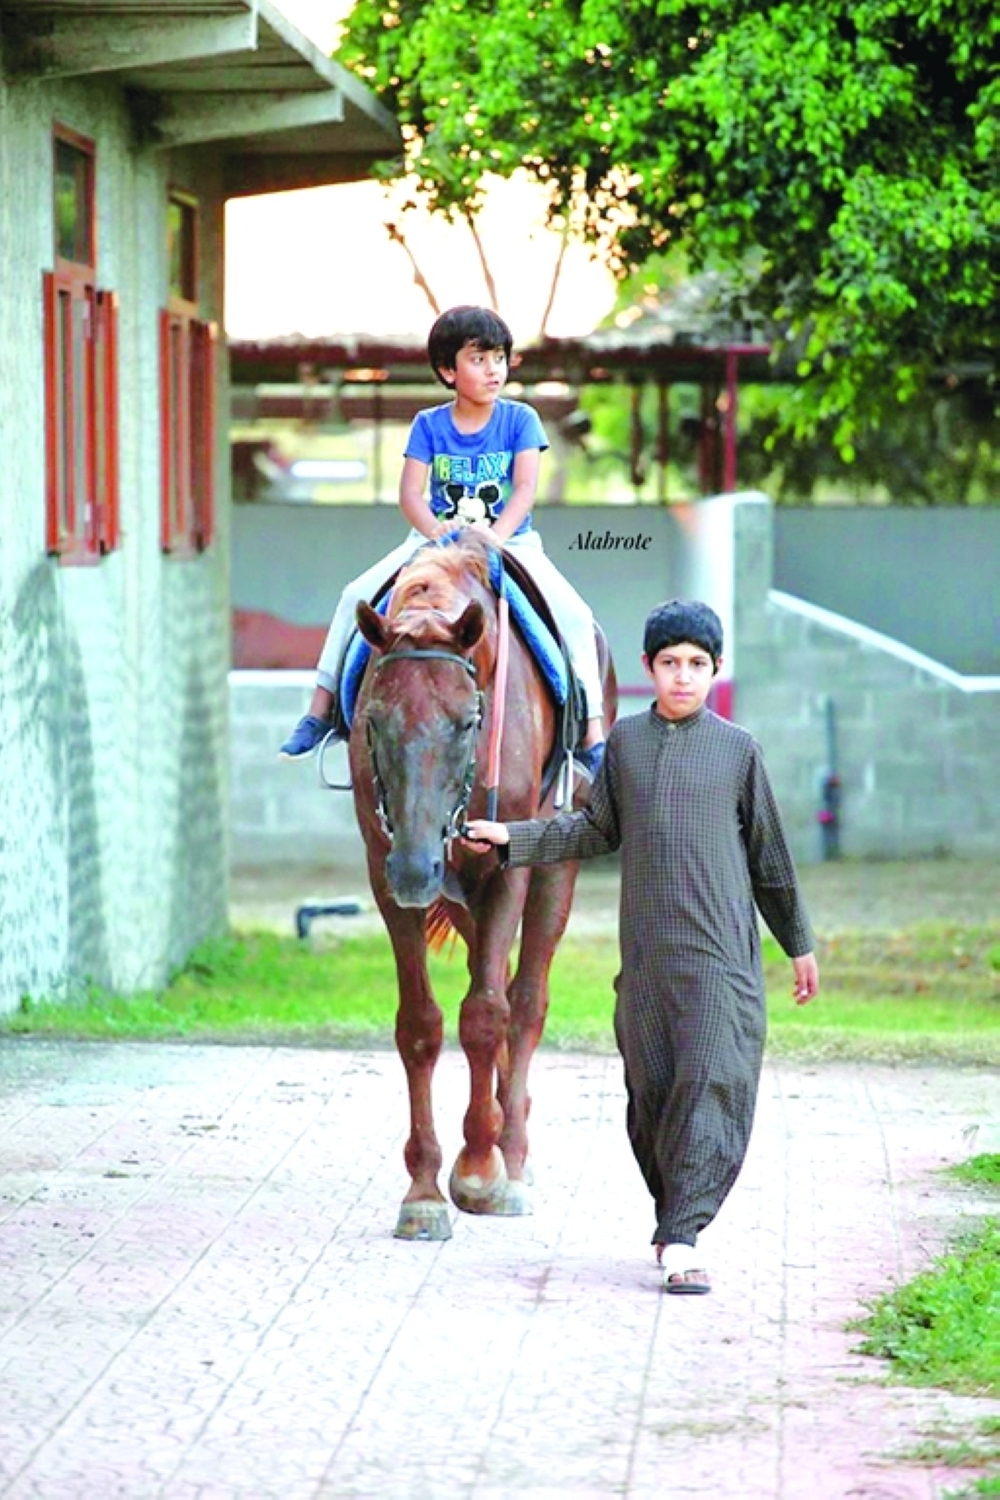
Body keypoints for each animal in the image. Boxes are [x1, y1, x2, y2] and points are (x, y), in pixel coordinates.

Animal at [349, 531, 617, 1241]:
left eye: (468, 722)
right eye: (374, 721)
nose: (417, 868)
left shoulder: (509, 866)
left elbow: (488, 1014)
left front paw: (476, 1169)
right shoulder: (384, 870)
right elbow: (421, 1023)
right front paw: (423, 1190)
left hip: (553, 866)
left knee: (524, 1000)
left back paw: (512, 1158)